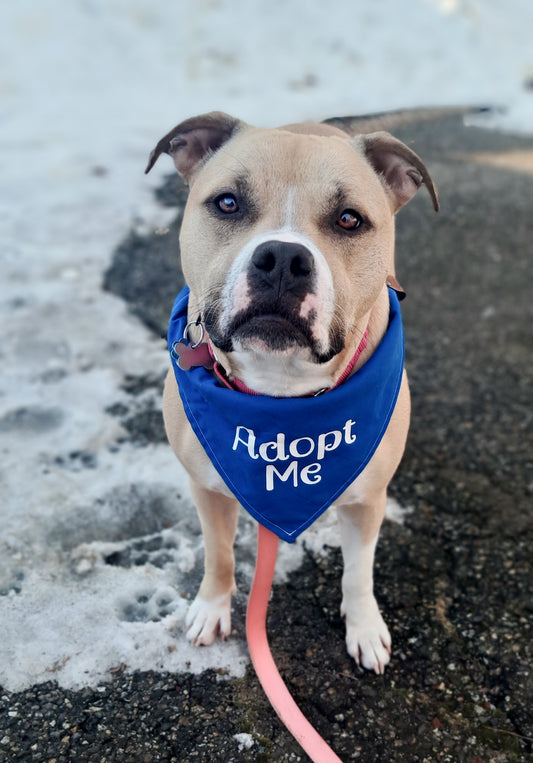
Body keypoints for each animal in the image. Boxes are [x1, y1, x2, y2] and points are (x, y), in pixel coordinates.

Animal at [145, 112, 436, 676]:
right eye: (227, 203)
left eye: (349, 219)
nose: (282, 258)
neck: (279, 391)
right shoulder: (208, 487)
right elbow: (219, 553)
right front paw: (211, 606)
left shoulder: (367, 499)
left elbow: (358, 572)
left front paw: (364, 628)